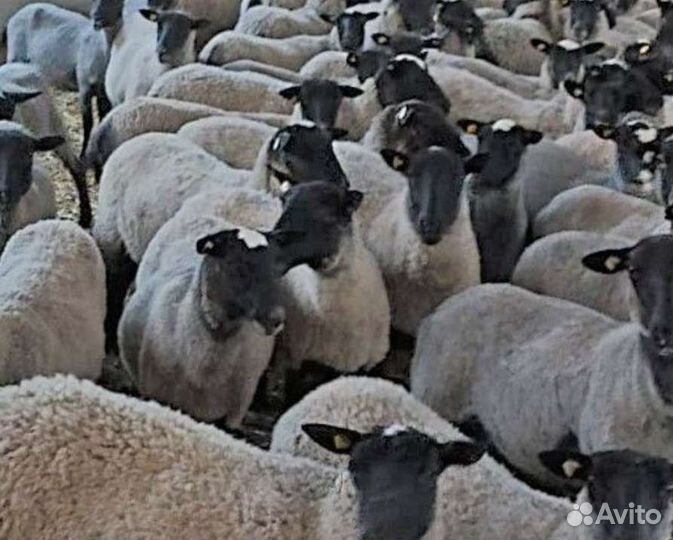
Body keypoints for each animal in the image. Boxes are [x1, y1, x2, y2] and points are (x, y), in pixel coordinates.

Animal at [6, 3, 112, 157]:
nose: (97, 20)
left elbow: (104, 117)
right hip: (15, 54)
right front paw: (83, 153)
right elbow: (88, 122)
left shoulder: (102, 92)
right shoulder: (84, 88)